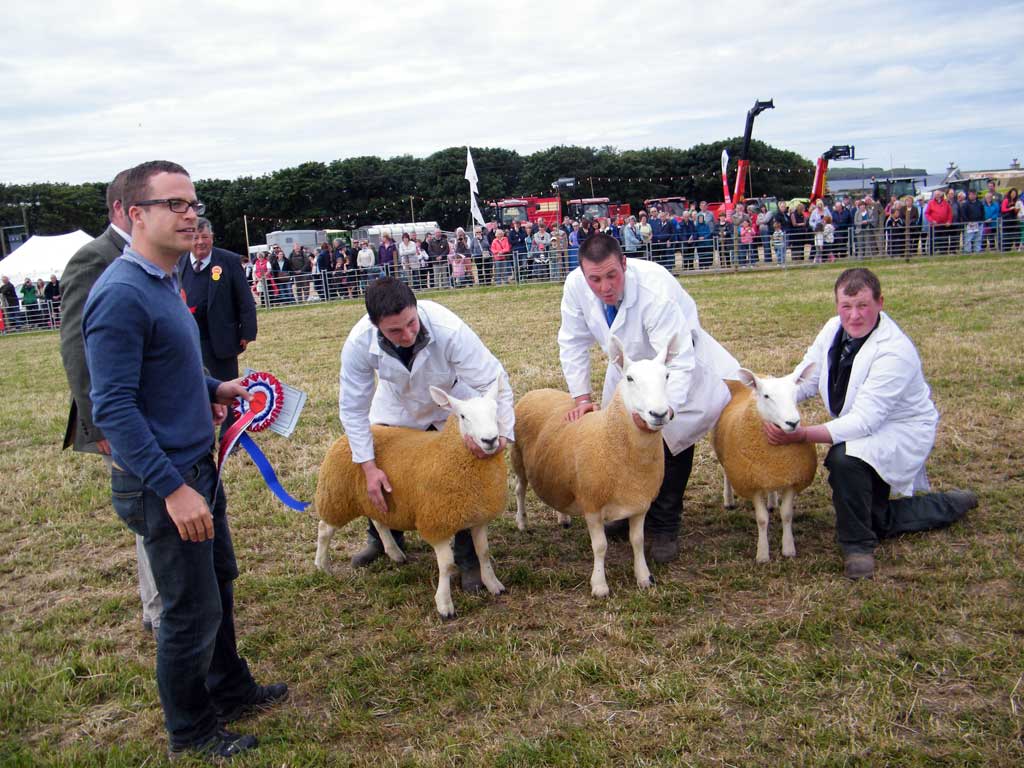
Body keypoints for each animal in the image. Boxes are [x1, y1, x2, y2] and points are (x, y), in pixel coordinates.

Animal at [507, 337, 675, 602]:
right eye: (630, 378)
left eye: (667, 375)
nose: (658, 414)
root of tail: (538, 391)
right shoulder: (592, 504)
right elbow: (600, 546)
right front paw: (599, 585)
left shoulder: (639, 503)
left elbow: (637, 541)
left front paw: (644, 577)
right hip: (518, 458)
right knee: (520, 490)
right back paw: (522, 522)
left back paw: (563, 517)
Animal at [712, 364, 815, 561]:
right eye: (766, 396)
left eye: (795, 392)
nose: (793, 423)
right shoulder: (752, 484)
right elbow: (761, 519)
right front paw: (763, 554)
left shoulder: (791, 479)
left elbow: (787, 515)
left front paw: (788, 549)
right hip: (725, 454)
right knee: (726, 473)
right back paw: (729, 500)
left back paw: (772, 502)